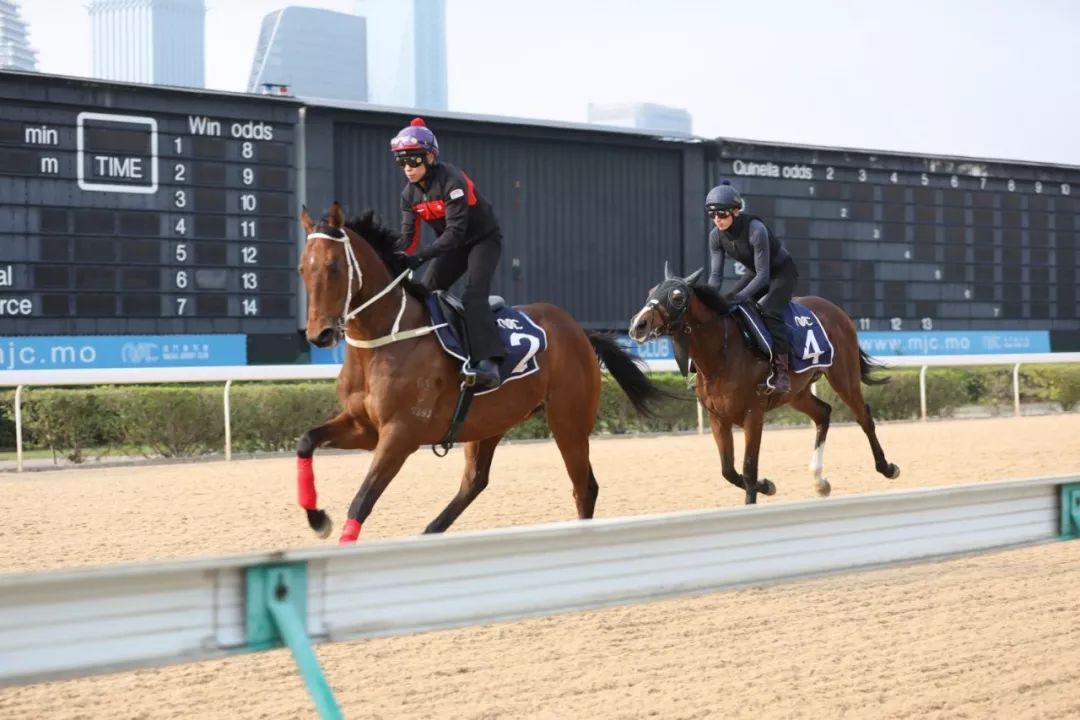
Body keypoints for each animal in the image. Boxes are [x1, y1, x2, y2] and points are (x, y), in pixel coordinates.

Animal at [295, 202, 665, 539]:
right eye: (302, 269)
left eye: (333, 267)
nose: (319, 334)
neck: (386, 339)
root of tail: (578, 331)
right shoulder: (365, 427)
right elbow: (306, 440)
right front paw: (317, 518)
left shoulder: (400, 433)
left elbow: (362, 500)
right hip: (488, 422)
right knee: (475, 481)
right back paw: (431, 531)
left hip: (568, 421)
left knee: (584, 488)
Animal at [630, 264, 898, 507]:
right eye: (651, 291)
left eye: (677, 297)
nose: (638, 325)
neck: (721, 356)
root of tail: (836, 310)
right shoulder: (718, 418)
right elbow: (728, 471)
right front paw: (766, 486)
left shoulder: (753, 413)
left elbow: (749, 468)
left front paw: (756, 494)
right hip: (796, 392)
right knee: (823, 413)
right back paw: (819, 481)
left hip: (844, 377)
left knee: (864, 416)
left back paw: (886, 467)